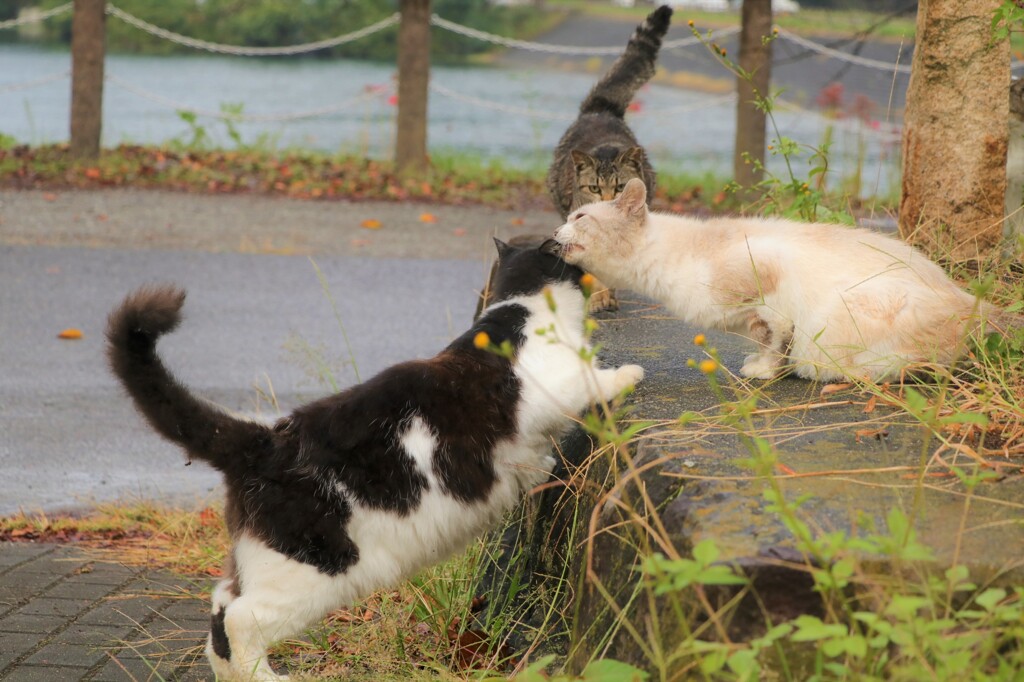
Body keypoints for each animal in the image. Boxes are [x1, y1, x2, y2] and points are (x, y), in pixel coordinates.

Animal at [108, 240, 643, 679]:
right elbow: (594, 380)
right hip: (316, 568)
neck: (519, 308)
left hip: (261, 562)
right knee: (240, 621)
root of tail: (266, 439)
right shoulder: (554, 389)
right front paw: (630, 373)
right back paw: (269, 679)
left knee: (220, 609)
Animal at [552, 178, 999, 378]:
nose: (553, 232)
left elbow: (776, 336)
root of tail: (973, 306)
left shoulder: (769, 280)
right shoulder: (752, 313)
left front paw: (765, 371)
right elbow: (766, 338)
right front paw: (766, 365)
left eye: (579, 217)